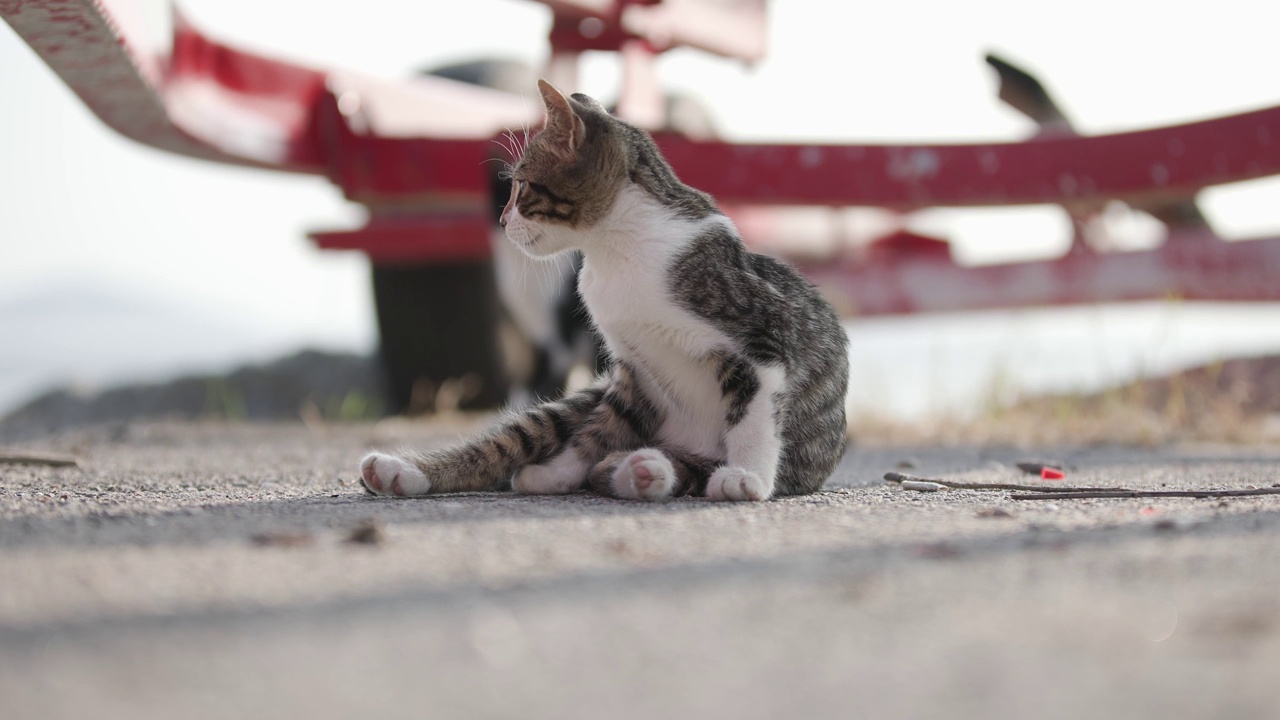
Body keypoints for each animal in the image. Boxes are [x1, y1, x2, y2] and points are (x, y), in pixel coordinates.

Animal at [358, 79, 849, 499]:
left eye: (521, 186)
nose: (502, 220)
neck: (616, 250)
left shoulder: (761, 337)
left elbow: (753, 414)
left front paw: (748, 476)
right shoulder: (633, 372)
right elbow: (597, 432)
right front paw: (556, 474)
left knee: (692, 468)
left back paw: (649, 470)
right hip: (578, 398)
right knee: (511, 442)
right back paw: (401, 472)